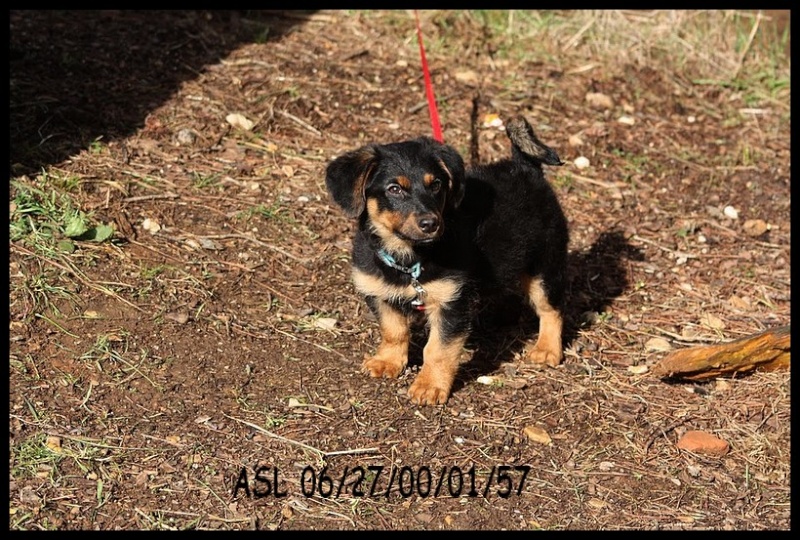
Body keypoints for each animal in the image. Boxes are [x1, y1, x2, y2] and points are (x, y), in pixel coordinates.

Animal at [324, 117, 568, 404]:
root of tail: (525, 168)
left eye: (436, 185)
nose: (431, 224)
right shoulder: (379, 293)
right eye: (394, 189)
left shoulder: (452, 302)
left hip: (544, 265)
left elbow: (438, 349)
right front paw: (388, 362)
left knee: (551, 309)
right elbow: (393, 330)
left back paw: (547, 349)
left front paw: (429, 386)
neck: (410, 258)